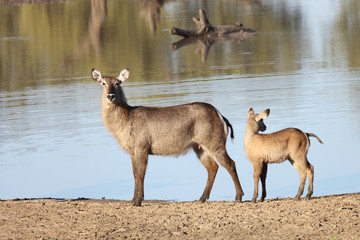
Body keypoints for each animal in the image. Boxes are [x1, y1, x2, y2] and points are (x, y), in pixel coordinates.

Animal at [91, 68, 243, 206]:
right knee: (213, 167)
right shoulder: (133, 152)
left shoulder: (141, 149)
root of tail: (219, 114)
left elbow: (140, 174)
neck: (126, 117)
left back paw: (238, 197)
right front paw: (133, 200)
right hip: (199, 147)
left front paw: (138, 201)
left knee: (230, 164)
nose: (110, 96)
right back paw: (201, 198)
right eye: (103, 83)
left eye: (117, 83)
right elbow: (135, 175)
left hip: (215, 144)